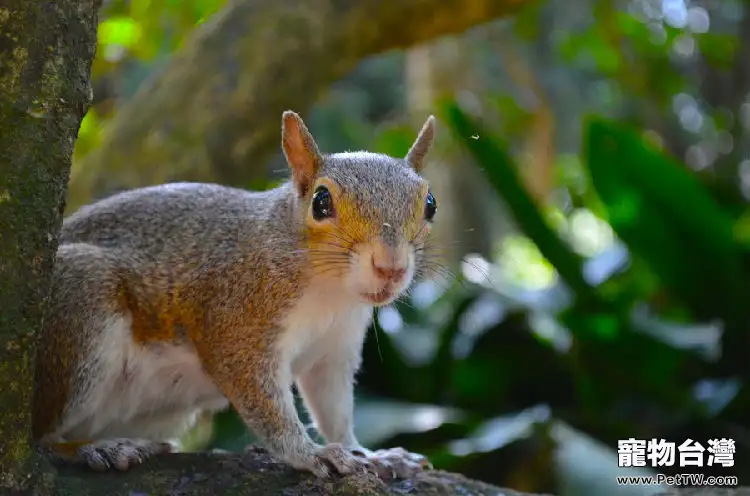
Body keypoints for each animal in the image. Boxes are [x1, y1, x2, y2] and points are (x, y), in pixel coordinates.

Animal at [33, 110, 440, 478]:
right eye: (321, 202)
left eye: (430, 204)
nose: (390, 267)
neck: (331, 293)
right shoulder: (238, 322)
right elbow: (263, 403)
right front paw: (309, 453)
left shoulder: (335, 349)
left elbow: (334, 409)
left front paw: (368, 454)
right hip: (84, 300)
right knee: (43, 435)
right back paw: (94, 448)